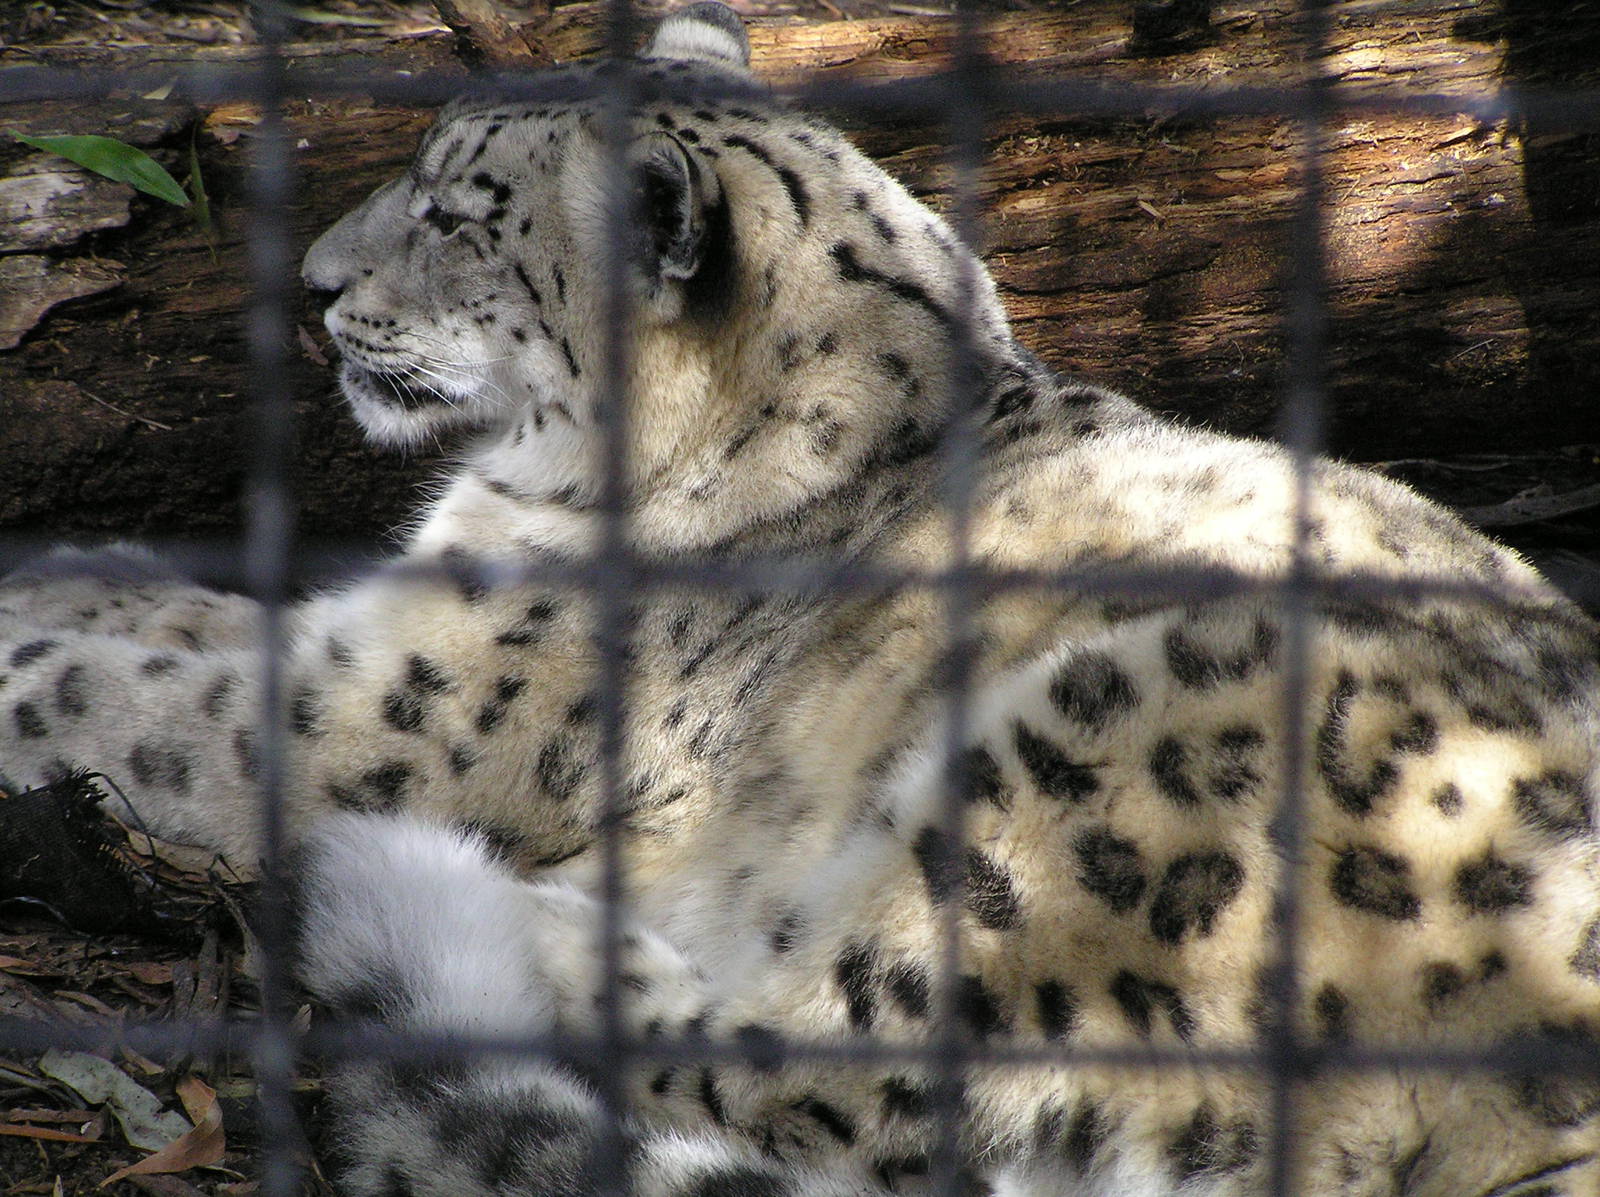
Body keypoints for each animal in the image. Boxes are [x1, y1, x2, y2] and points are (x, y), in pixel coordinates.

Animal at [3, 4, 1600, 1193]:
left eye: (456, 214)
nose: (318, 288)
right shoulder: (363, 632)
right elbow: (180, 622)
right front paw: (62, 573)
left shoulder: (383, 714)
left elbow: (127, 699)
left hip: (1094, 766)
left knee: (849, 1081)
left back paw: (541, 920)